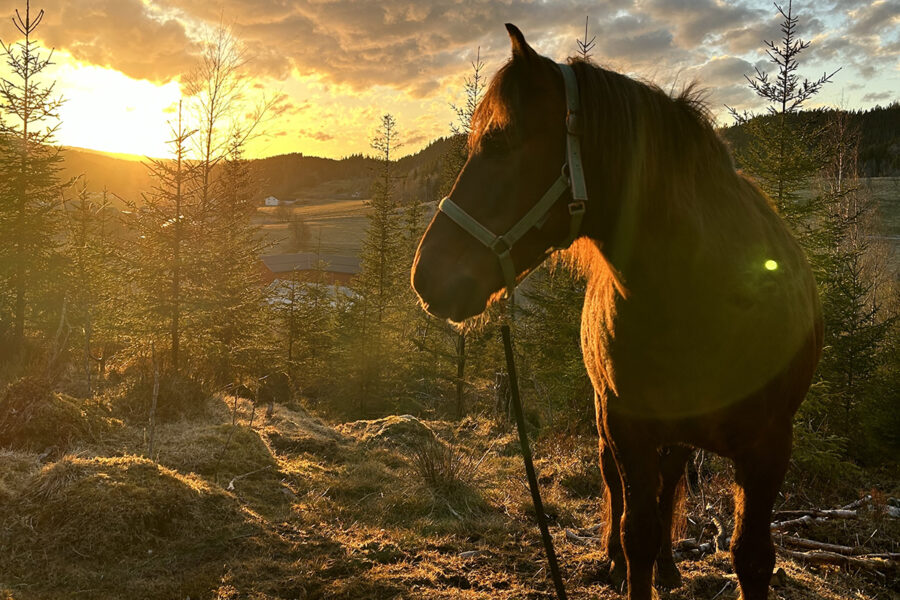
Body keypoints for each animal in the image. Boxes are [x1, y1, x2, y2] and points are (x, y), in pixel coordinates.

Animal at [414, 23, 824, 600]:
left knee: (669, 483)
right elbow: (637, 533)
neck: (703, 299)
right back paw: (612, 557)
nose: (424, 275)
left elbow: (751, 555)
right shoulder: (627, 426)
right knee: (618, 484)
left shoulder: (768, 446)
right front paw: (623, 561)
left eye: (499, 142)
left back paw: (672, 568)